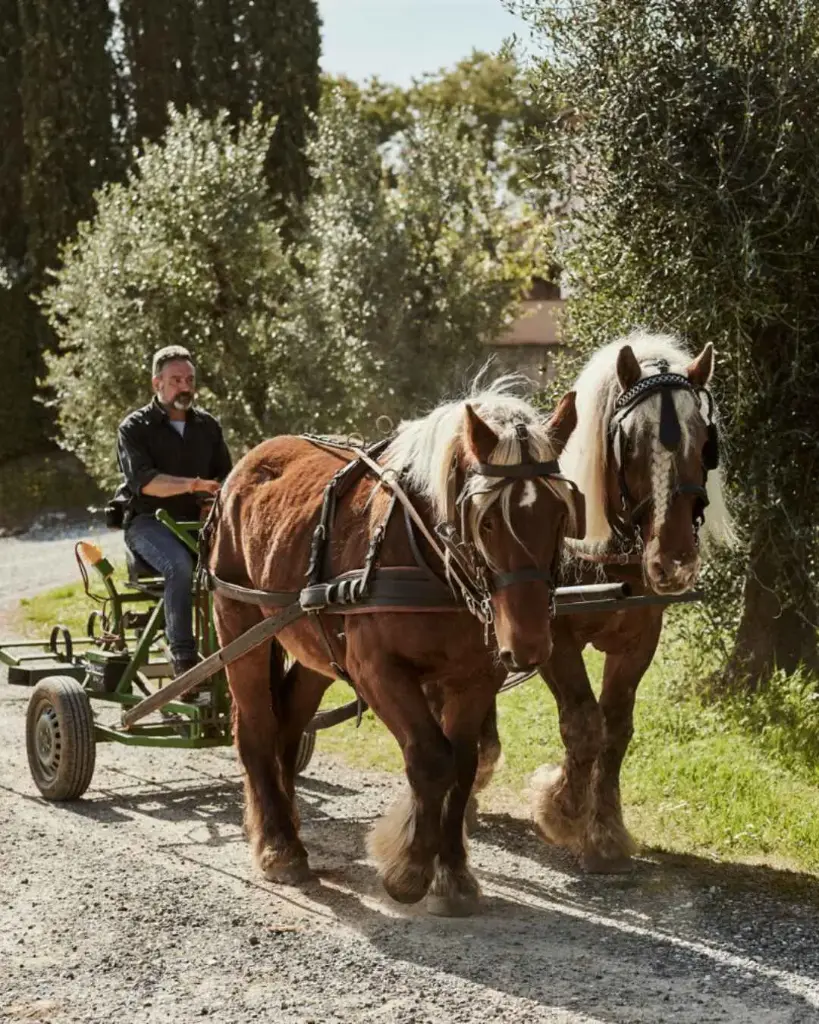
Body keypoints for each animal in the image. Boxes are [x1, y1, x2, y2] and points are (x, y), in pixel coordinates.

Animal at [209, 377, 581, 915]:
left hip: (313, 647)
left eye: (558, 515)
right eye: (486, 521)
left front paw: (453, 873)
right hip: (239, 626)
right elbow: (431, 758)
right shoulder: (377, 671)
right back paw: (279, 847)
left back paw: (289, 828)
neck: (428, 557)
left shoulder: (475, 677)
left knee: (287, 729)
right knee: (256, 729)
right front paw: (409, 870)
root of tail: (246, 466)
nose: (529, 646)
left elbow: (463, 764)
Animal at [473, 332, 734, 872]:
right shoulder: (550, 638)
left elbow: (616, 727)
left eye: (705, 442)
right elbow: (583, 723)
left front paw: (606, 831)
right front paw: (563, 809)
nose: (674, 561)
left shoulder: (640, 639)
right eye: (628, 442)